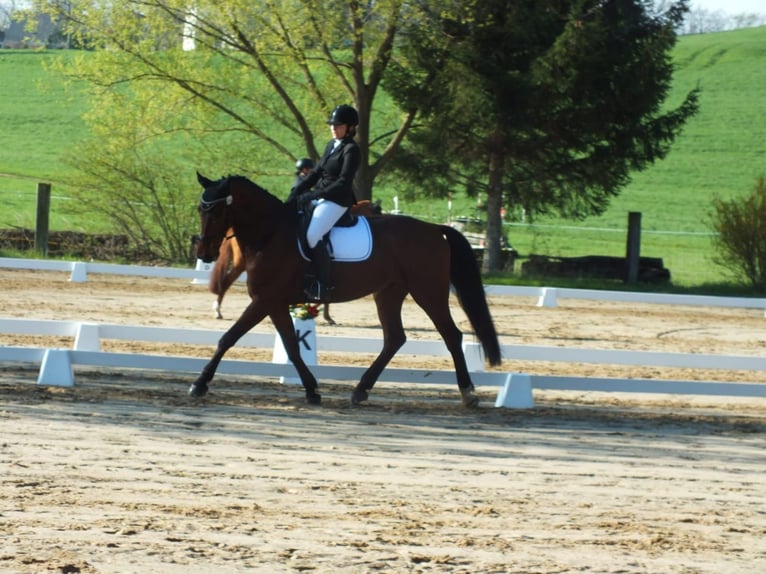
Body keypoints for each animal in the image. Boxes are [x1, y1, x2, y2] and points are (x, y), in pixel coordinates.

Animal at [192, 173, 504, 408]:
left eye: (216, 210)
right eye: (200, 209)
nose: (205, 253)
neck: (269, 234)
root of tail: (434, 229)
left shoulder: (264, 299)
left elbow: (229, 338)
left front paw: (199, 384)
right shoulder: (275, 302)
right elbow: (291, 346)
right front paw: (312, 390)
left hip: (428, 292)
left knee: (451, 335)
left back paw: (468, 393)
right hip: (389, 293)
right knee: (394, 338)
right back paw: (360, 390)